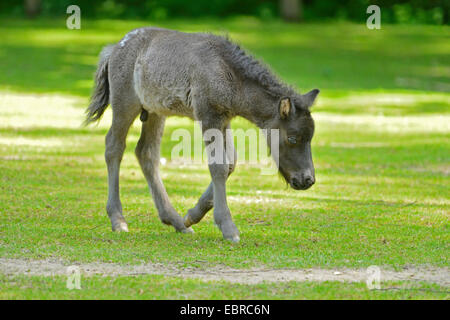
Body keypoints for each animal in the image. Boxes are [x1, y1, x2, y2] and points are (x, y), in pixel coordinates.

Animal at [83, 28, 316, 242]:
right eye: (293, 138)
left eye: (311, 137)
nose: (307, 179)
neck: (228, 73)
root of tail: (114, 49)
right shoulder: (208, 115)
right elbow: (219, 166)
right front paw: (228, 227)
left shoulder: (224, 119)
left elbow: (231, 163)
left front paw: (192, 216)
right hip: (125, 103)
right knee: (114, 147)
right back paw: (118, 219)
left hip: (155, 111)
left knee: (145, 152)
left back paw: (176, 222)